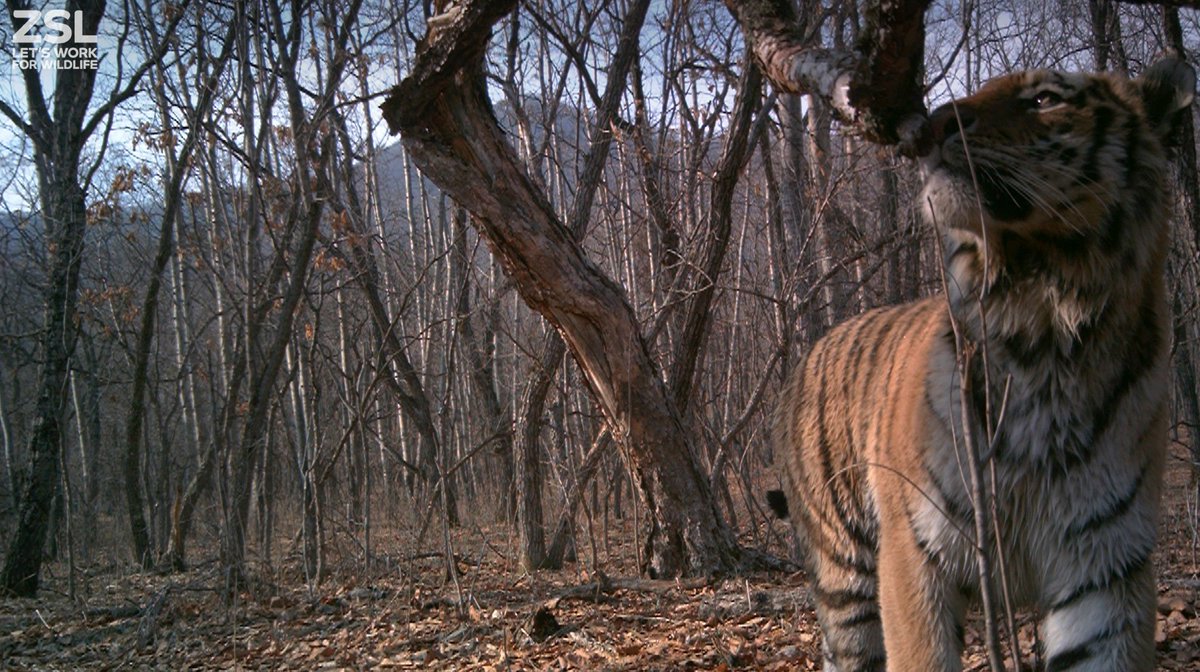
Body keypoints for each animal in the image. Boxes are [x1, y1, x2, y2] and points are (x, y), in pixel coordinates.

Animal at [768, 57, 1196, 672]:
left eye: (1044, 99)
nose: (935, 123)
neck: (1044, 328)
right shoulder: (916, 553)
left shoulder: (1104, 568)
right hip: (845, 578)